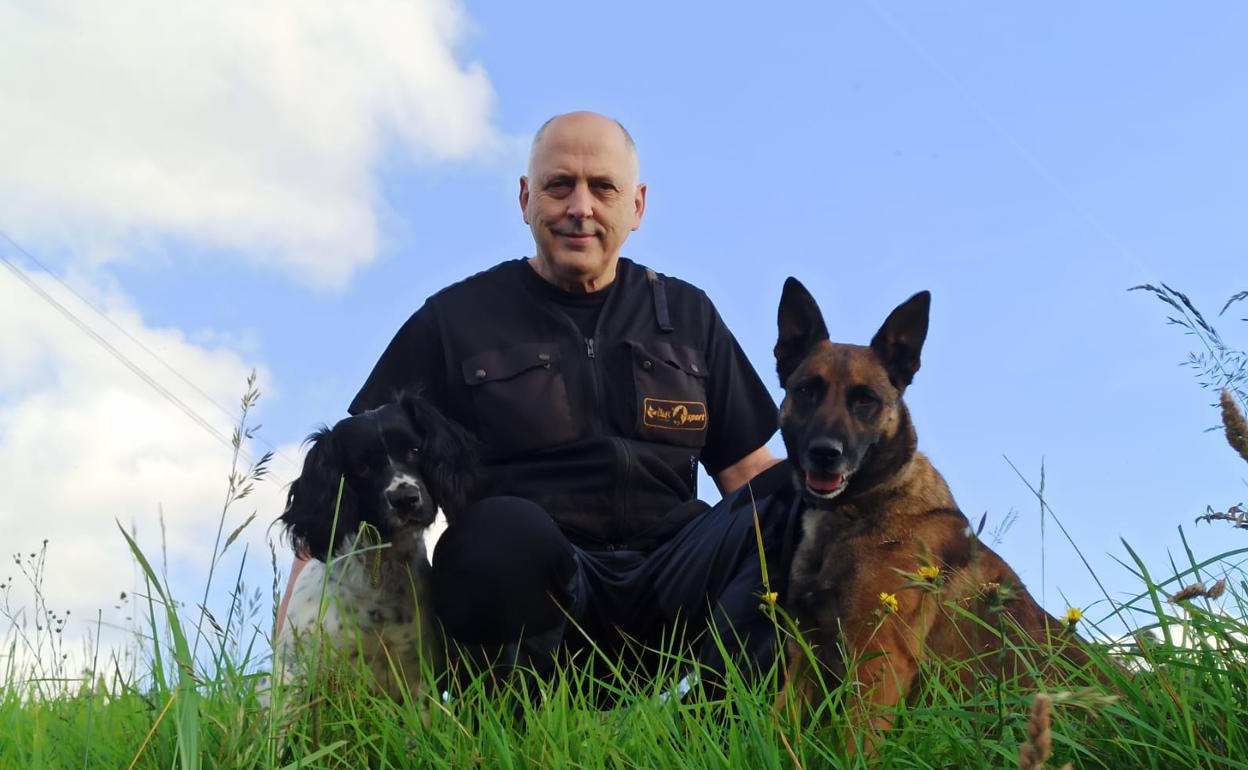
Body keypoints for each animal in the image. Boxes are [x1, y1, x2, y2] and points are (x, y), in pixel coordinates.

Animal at [768, 278, 1093, 738]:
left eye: (865, 400)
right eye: (806, 390)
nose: (825, 454)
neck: (863, 509)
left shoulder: (882, 659)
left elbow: (857, 741)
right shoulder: (804, 659)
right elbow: (774, 732)